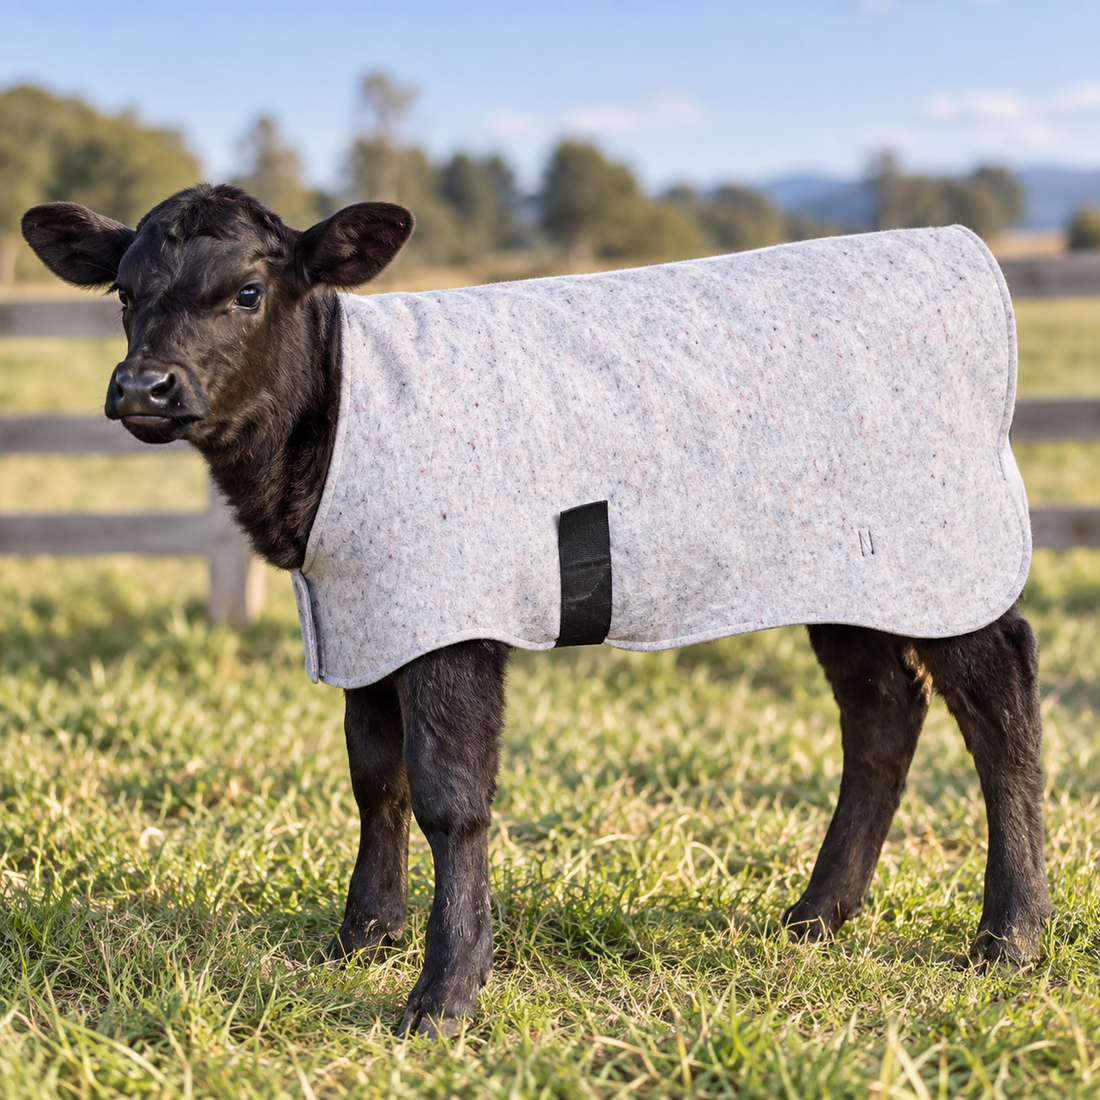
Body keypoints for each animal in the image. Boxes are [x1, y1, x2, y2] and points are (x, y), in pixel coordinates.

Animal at [22, 185, 1051, 1038]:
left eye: (246, 291)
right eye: (124, 294)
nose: (144, 387)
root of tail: (955, 245)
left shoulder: (454, 617)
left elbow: (449, 800)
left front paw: (444, 996)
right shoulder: (378, 615)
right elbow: (373, 779)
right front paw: (364, 937)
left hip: (954, 550)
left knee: (1001, 707)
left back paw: (1011, 936)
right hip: (847, 573)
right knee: (882, 710)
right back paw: (817, 916)